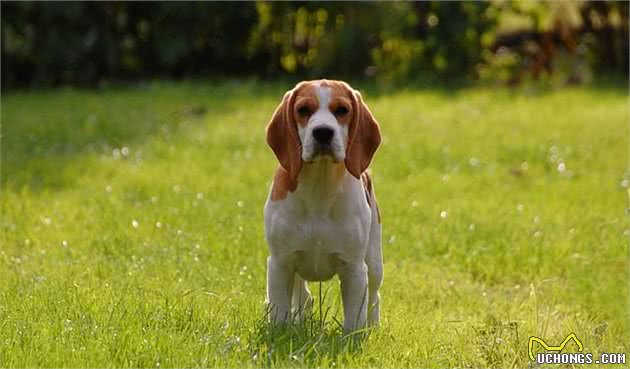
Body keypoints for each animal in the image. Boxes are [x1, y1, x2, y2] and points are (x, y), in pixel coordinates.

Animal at [264, 79, 382, 332]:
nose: (323, 132)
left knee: (375, 298)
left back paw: (374, 327)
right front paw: (281, 332)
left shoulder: (354, 268)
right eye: (303, 110)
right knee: (304, 296)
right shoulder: (280, 263)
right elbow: (279, 313)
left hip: (374, 263)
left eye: (342, 110)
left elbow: (354, 320)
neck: (320, 185)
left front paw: (354, 336)